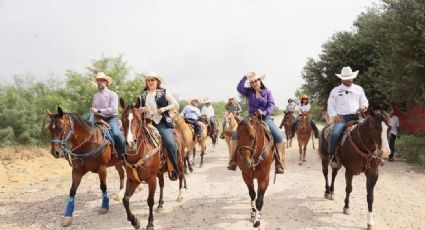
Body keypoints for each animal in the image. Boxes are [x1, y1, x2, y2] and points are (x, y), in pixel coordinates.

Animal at [119, 99, 186, 230]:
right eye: (123, 119)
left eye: (139, 120)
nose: (130, 143)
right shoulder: (132, 180)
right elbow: (125, 200)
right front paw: (135, 221)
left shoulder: (151, 179)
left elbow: (150, 200)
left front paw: (150, 223)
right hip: (160, 172)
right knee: (162, 184)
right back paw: (160, 204)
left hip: (179, 163)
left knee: (181, 175)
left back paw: (181, 195)